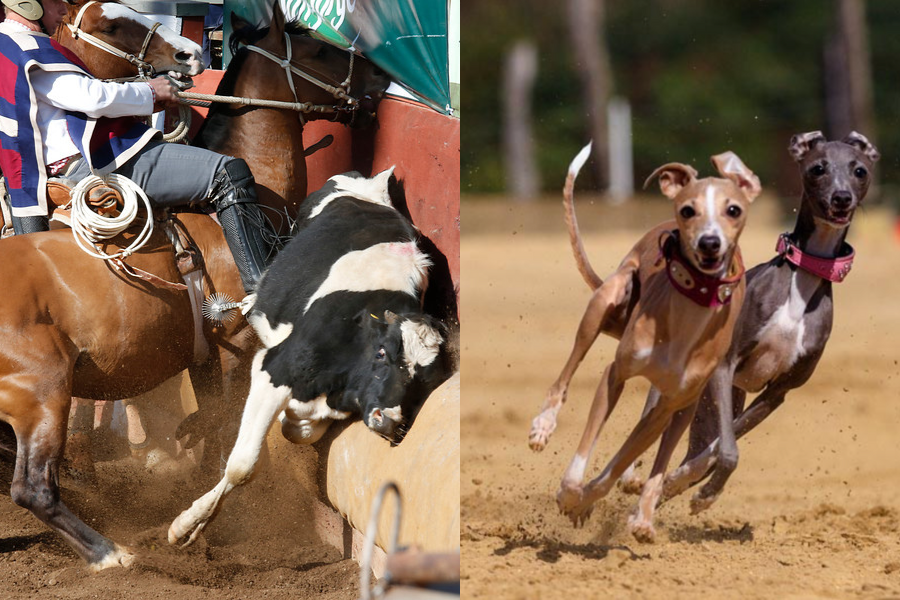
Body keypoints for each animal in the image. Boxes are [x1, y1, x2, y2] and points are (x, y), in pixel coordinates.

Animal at [0, 2, 386, 568]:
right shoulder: (232, 352)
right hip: (43, 394)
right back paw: (112, 552)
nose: (380, 77)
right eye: (316, 47)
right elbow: (224, 433)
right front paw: (205, 530)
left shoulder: (203, 357)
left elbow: (211, 427)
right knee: (32, 487)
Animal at [168, 166, 446, 548]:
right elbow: (242, 465)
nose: (388, 421)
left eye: (424, 380)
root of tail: (364, 186)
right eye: (382, 353)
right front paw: (187, 525)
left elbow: (296, 432)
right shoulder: (274, 369)